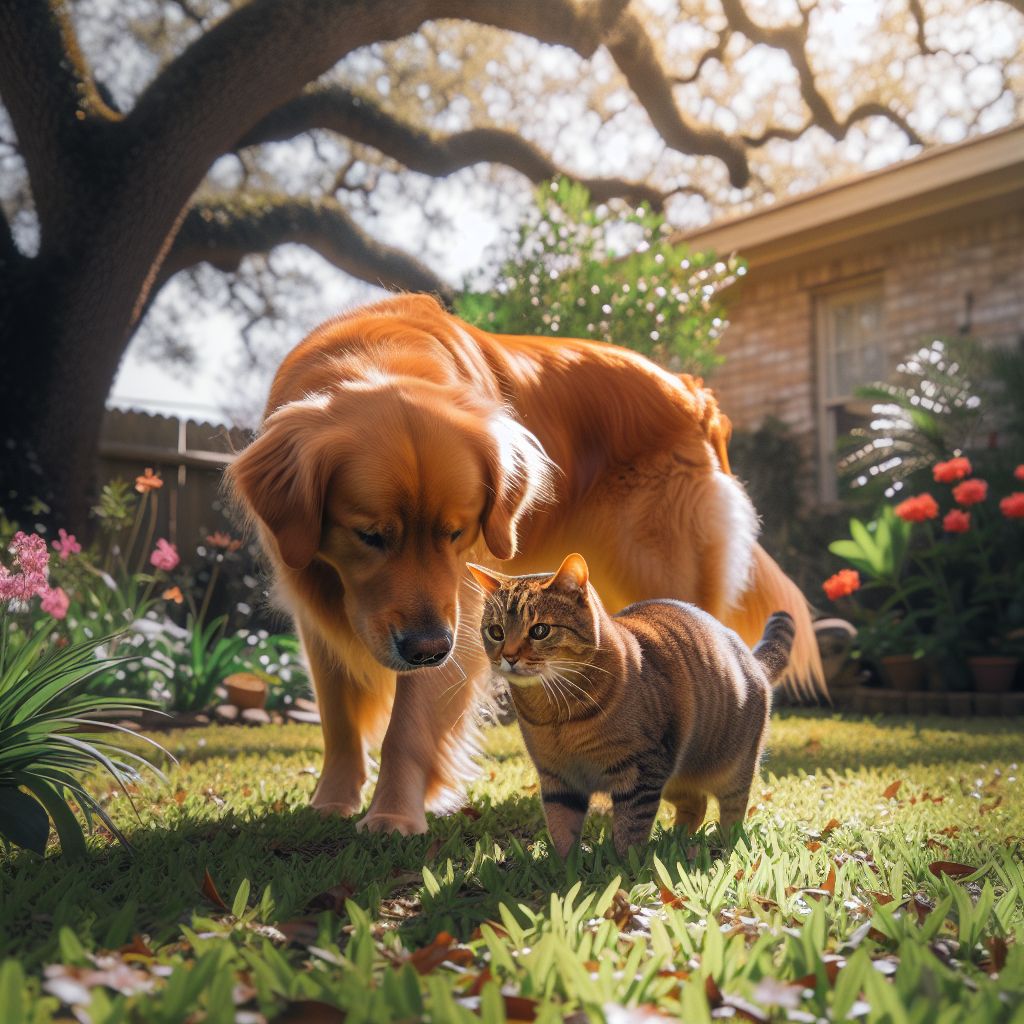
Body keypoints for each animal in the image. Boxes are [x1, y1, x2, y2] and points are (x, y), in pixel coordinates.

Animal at [464, 552, 790, 856]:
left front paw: (623, 866)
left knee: (733, 811)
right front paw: (563, 867)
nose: (508, 656)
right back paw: (676, 840)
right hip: (676, 779)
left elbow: (629, 830)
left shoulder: (641, 772)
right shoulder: (557, 778)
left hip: (731, 770)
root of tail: (752, 658)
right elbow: (561, 828)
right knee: (695, 804)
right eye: (496, 632)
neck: (555, 713)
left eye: (540, 630)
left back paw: (723, 843)